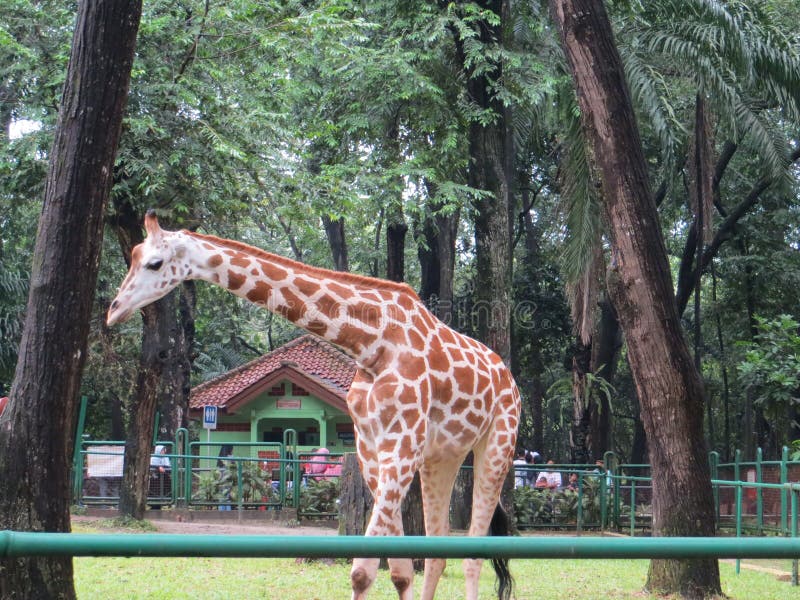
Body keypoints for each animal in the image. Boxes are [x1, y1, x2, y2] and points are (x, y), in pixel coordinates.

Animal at [106, 211, 520, 600]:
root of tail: (510, 381)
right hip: (443, 456)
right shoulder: (372, 450)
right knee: (439, 552)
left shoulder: (403, 447)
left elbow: (363, 572)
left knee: (472, 555)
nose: (114, 309)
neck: (371, 343)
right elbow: (400, 572)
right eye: (133, 256)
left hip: (498, 447)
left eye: (154, 263)